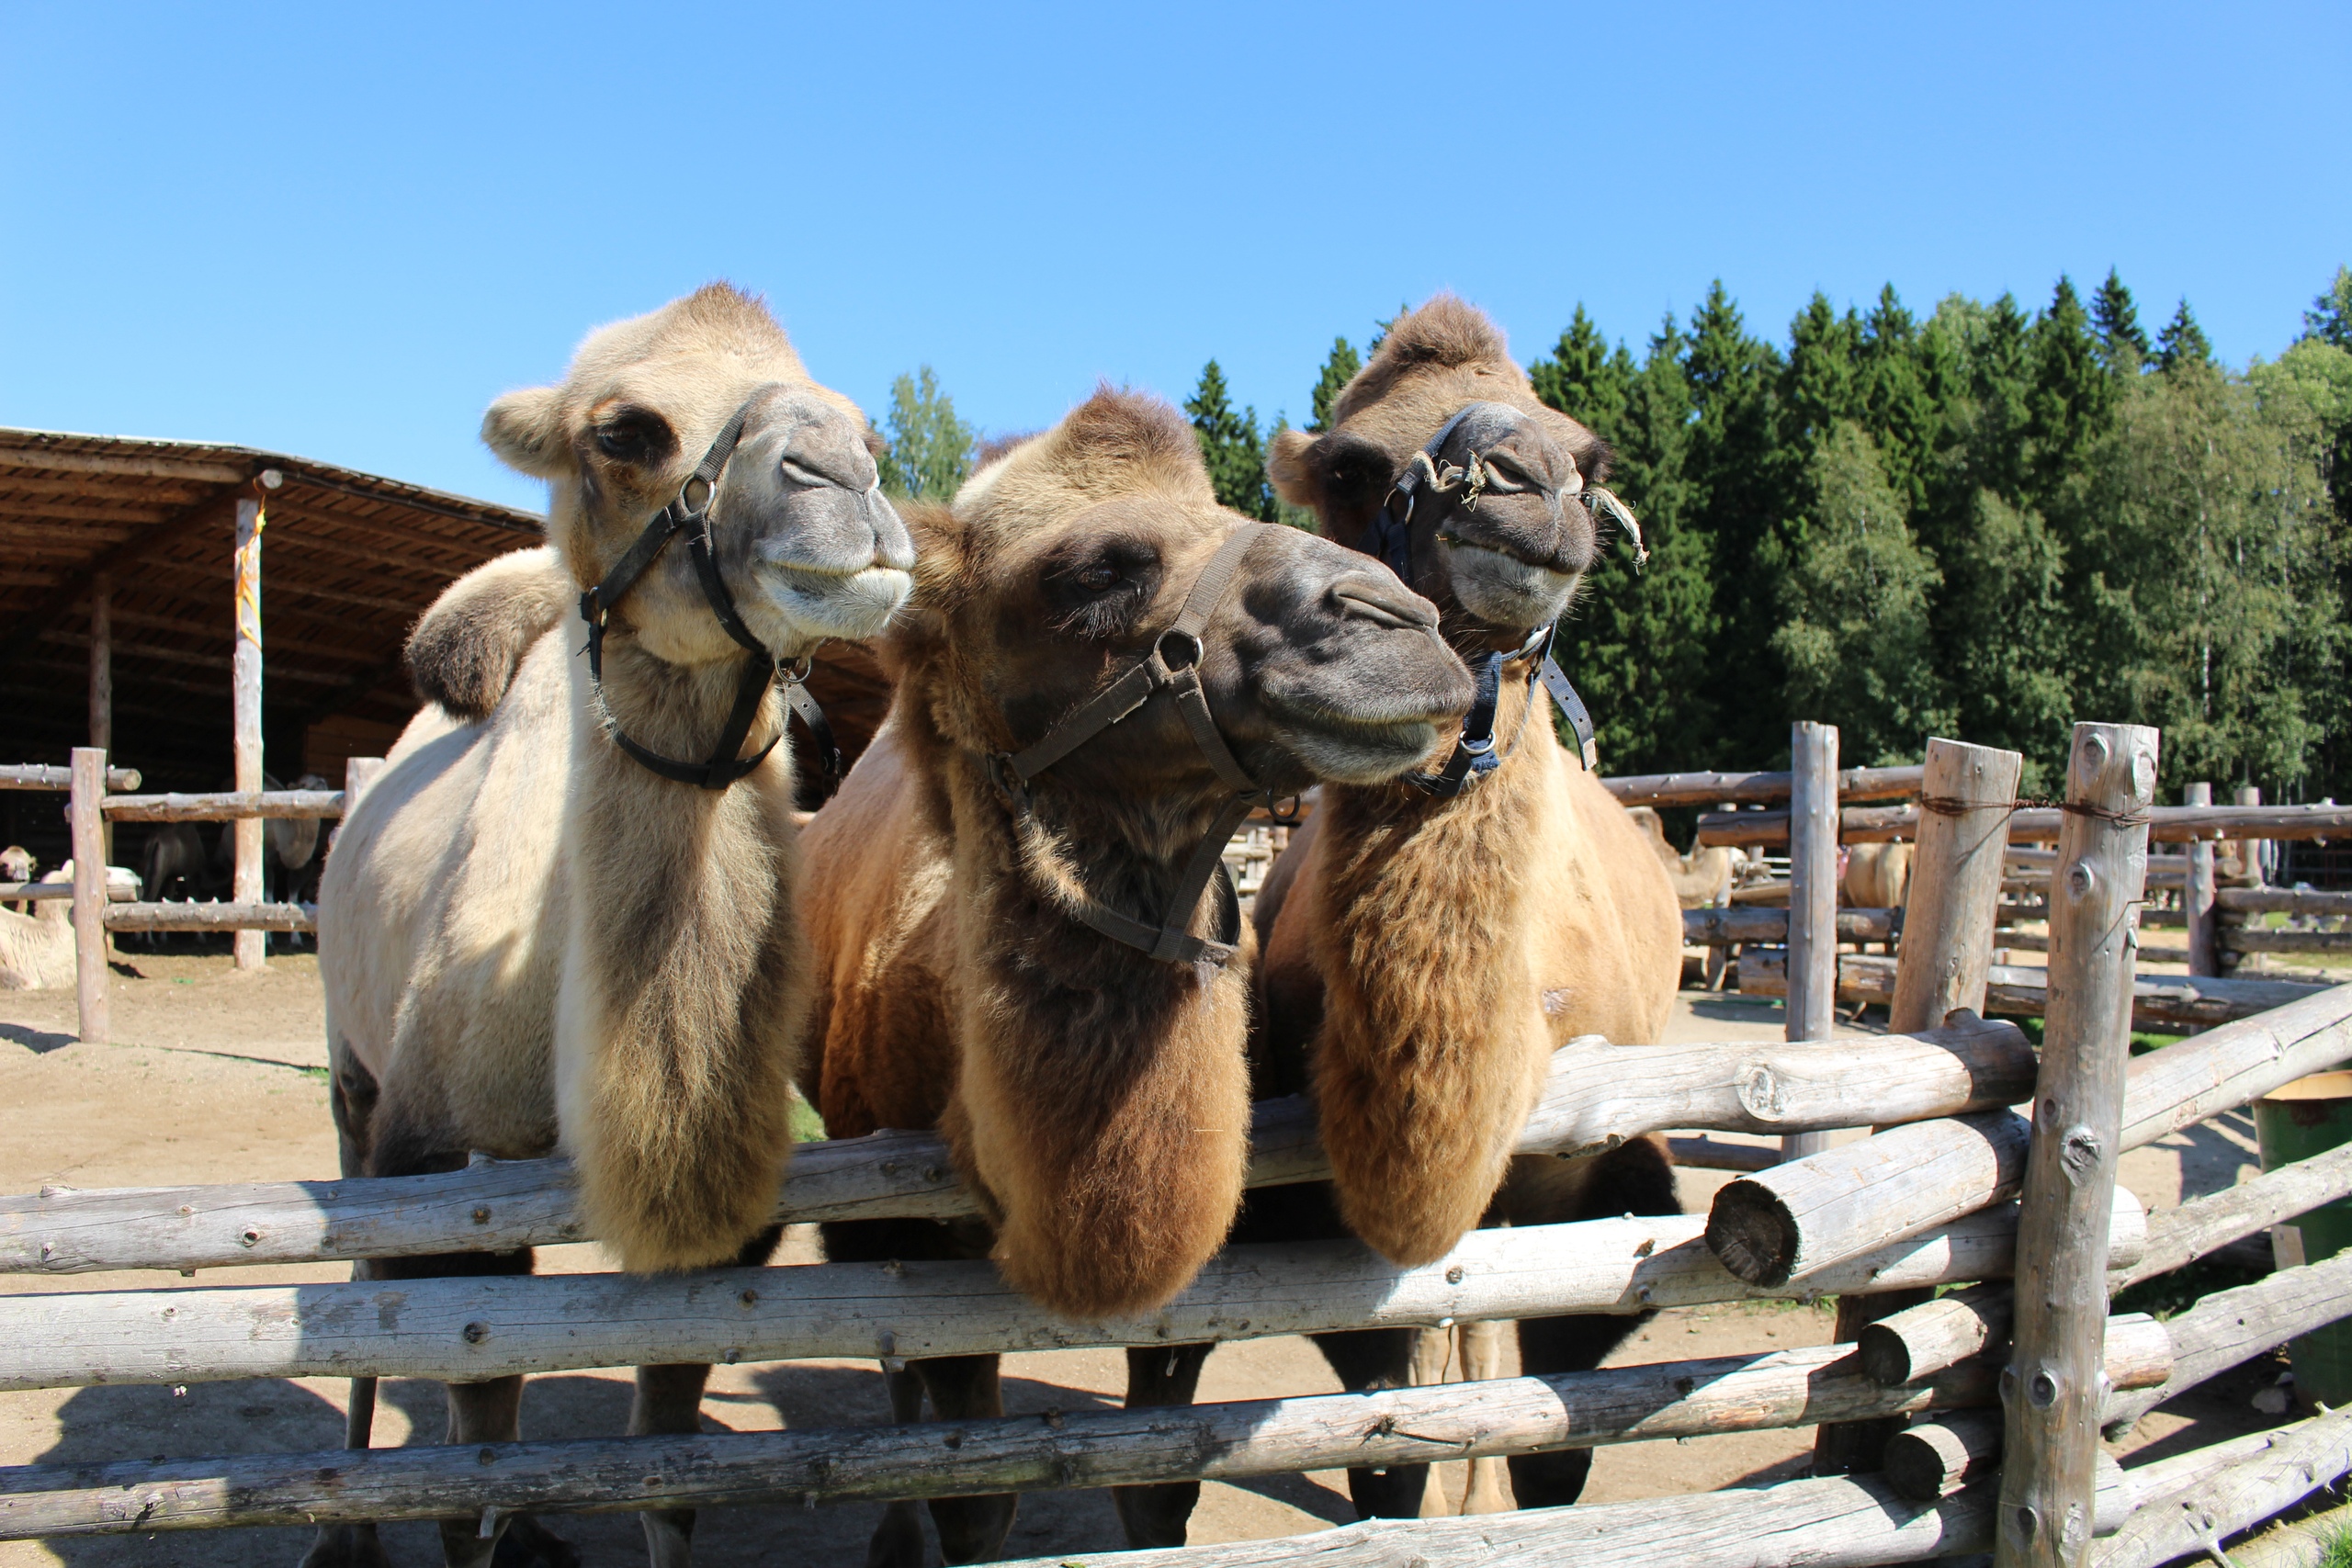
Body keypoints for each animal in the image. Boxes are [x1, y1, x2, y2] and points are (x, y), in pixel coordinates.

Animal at [303, 285, 908, 1568]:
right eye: (624, 431)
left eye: (864, 420)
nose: (846, 479)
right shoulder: (447, 1184)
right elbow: (461, 1448)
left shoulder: (726, 1234)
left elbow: (661, 1472)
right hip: (350, 1077)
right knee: (361, 1277)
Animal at [1105, 297, 1693, 1541]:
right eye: (1351, 466)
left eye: (1589, 457)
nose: (1529, 488)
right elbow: (1375, 1443)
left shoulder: (1600, 1211)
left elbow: (1553, 1443)